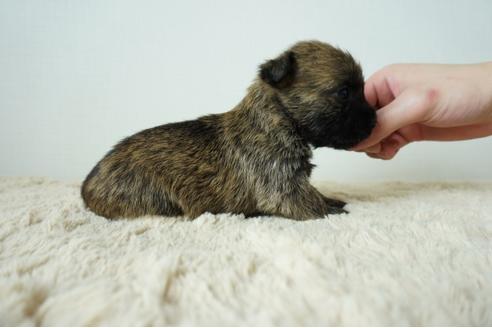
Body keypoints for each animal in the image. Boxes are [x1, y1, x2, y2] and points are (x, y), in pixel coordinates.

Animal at [80, 41, 374, 220]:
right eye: (344, 92)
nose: (374, 119)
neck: (278, 117)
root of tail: (87, 187)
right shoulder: (282, 186)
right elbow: (309, 202)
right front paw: (332, 210)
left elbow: (316, 193)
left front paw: (333, 200)